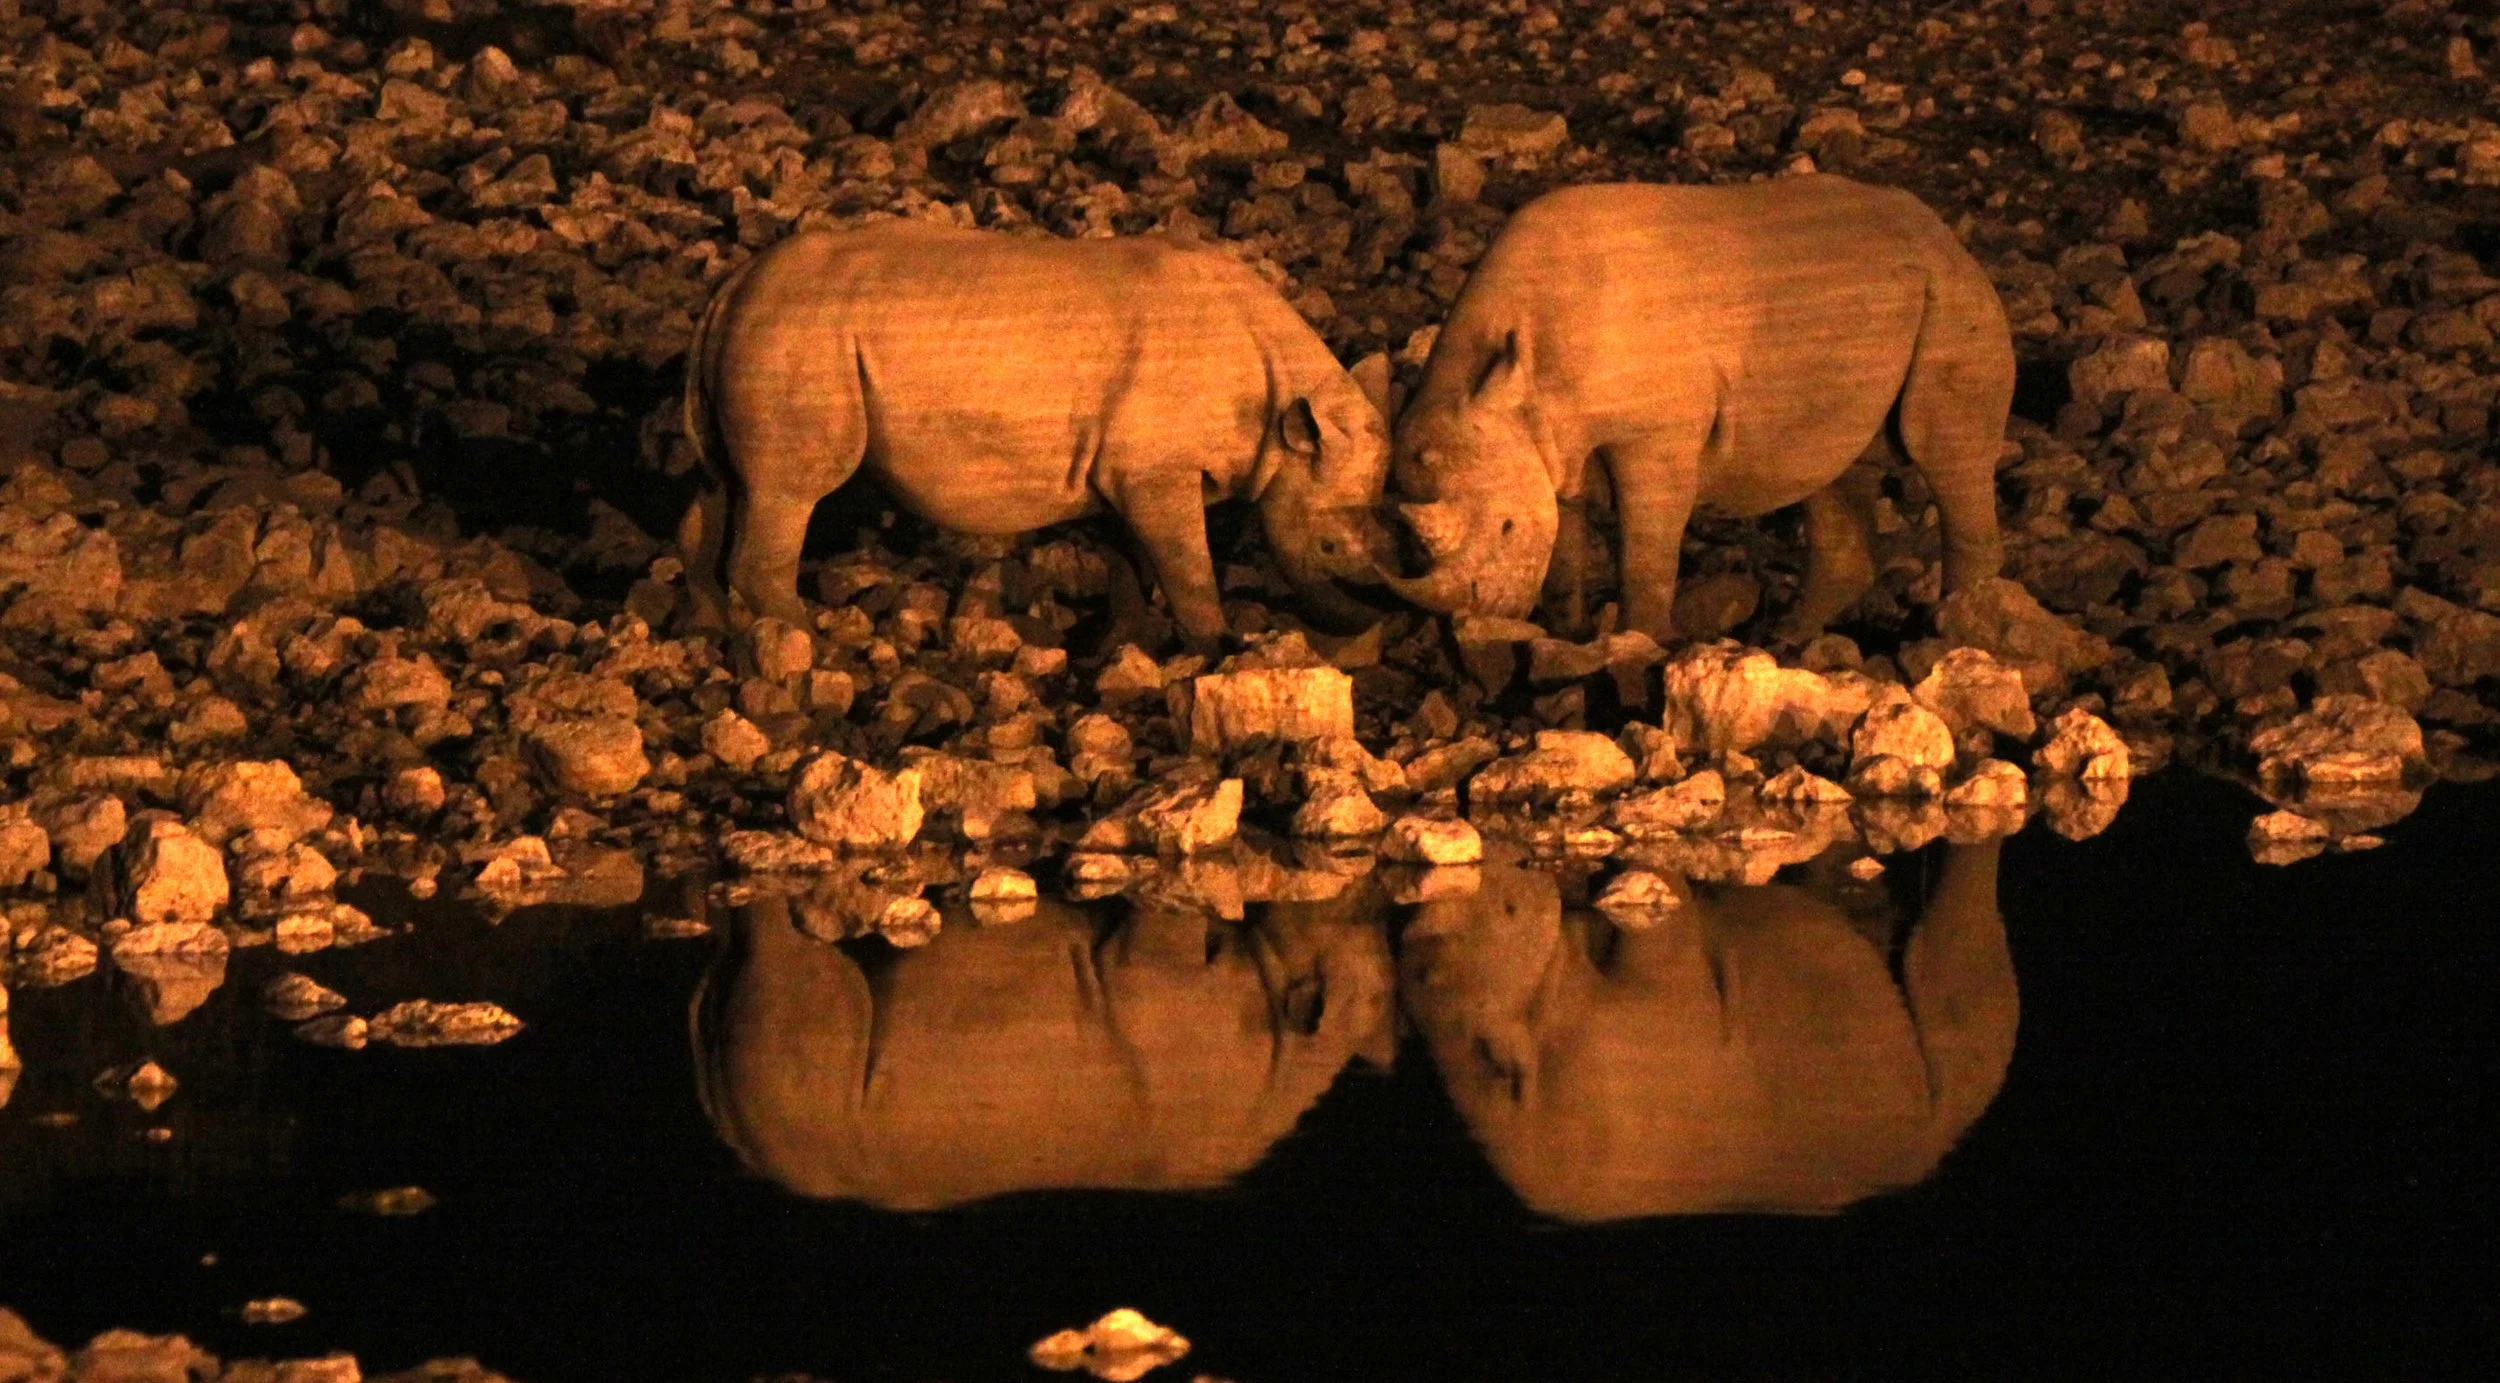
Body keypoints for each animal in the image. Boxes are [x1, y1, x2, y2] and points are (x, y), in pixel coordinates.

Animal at [679, 220, 1394, 642]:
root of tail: (732, 288)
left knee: (720, 486)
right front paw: (1219, 648)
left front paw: (1127, 651)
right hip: (800, 337)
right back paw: (820, 653)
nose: (1369, 627)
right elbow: (1187, 565)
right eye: (1329, 546)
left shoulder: (1124, 469)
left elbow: (1132, 561)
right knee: (790, 491)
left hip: (771, 331)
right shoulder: (1155, 470)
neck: (1281, 411)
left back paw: (723, 645)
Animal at [1381, 176, 2015, 642]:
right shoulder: (1552, 438)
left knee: (1943, 452)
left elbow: (1645, 552)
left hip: (1954, 297)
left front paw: (1639, 645)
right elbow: (1566, 536)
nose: (1487, 617)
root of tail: (1944, 235)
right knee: (1833, 468)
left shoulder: (1653, 435)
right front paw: (1569, 636)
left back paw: (1956, 637)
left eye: (1507, 528)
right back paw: (1787, 641)